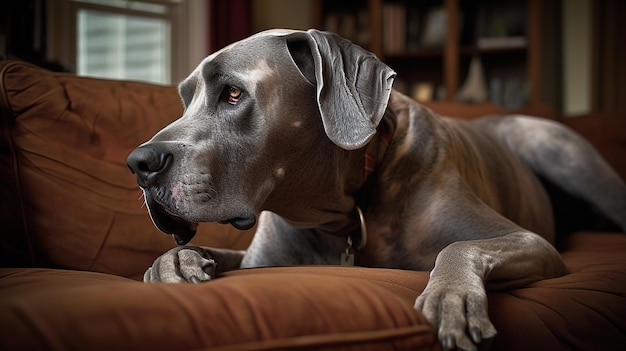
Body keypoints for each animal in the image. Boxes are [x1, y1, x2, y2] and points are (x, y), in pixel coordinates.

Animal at [127, 30, 624, 351]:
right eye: (184, 100)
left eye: (232, 93)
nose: (139, 164)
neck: (341, 213)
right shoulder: (260, 262)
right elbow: (197, 251)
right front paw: (172, 264)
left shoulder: (529, 241)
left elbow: (461, 245)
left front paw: (451, 298)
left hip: (561, 153)